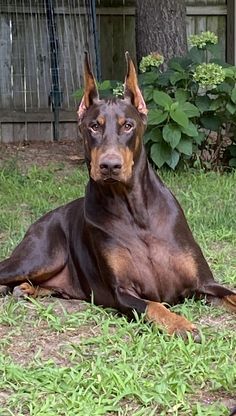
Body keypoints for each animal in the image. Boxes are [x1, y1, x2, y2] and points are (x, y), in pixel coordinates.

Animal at [0, 52, 236, 338]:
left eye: (128, 126)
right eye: (93, 126)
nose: (110, 166)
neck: (134, 211)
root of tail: (40, 221)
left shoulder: (204, 283)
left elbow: (231, 294)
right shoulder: (122, 292)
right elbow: (155, 306)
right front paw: (181, 324)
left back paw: (26, 288)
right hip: (40, 257)